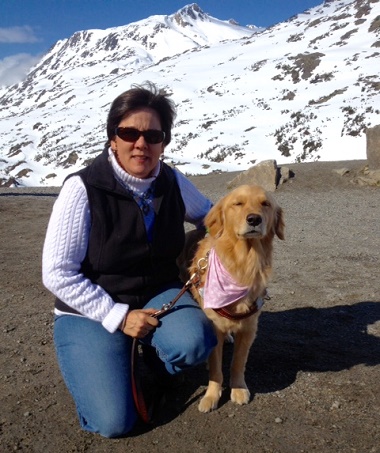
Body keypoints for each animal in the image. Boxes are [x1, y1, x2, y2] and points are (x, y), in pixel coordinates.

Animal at [189, 185, 284, 414]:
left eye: (265, 204)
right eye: (238, 203)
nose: (254, 219)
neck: (242, 265)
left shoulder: (249, 328)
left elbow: (238, 363)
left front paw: (239, 389)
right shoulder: (215, 328)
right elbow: (216, 368)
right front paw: (211, 395)